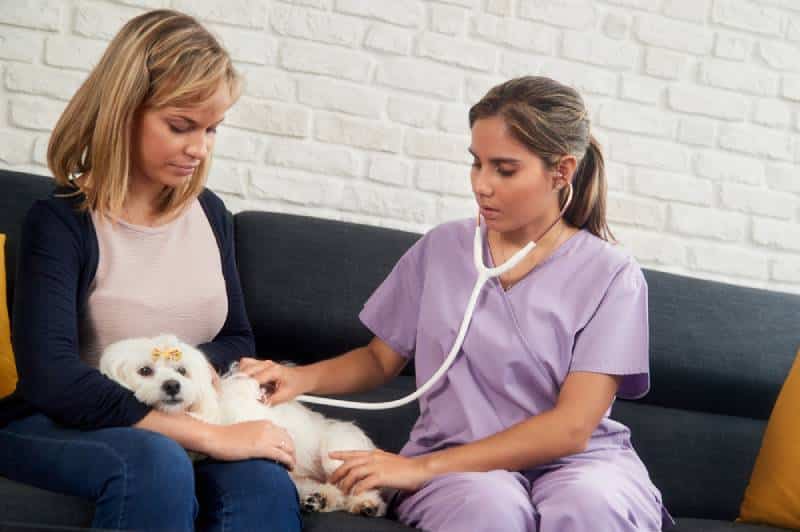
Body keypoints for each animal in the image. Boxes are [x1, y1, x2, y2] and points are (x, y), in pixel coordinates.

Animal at [100, 332, 388, 516]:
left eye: (182, 371)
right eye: (145, 371)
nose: (172, 385)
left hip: (337, 454)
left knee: (357, 486)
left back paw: (366, 504)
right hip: (304, 477)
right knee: (327, 490)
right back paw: (319, 499)